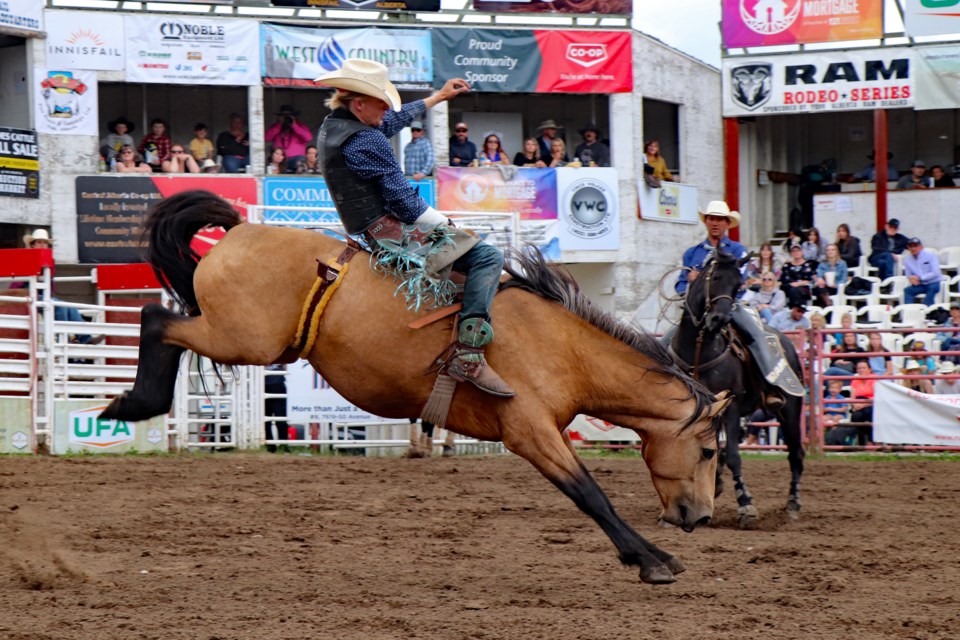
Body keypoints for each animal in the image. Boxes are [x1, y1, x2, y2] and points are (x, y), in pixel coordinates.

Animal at [101, 190, 728, 584]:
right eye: (708, 450)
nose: (701, 517)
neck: (563, 347)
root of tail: (238, 229)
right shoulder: (530, 430)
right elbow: (591, 494)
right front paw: (653, 560)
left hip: (251, 342)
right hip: (242, 339)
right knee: (156, 320)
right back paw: (132, 402)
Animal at [672, 250, 808, 524]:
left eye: (737, 286)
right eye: (715, 278)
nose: (719, 320)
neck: (699, 350)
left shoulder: (731, 408)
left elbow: (734, 456)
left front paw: (746, 504)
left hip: (790, 409)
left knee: (796, 454)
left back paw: (793, 504)